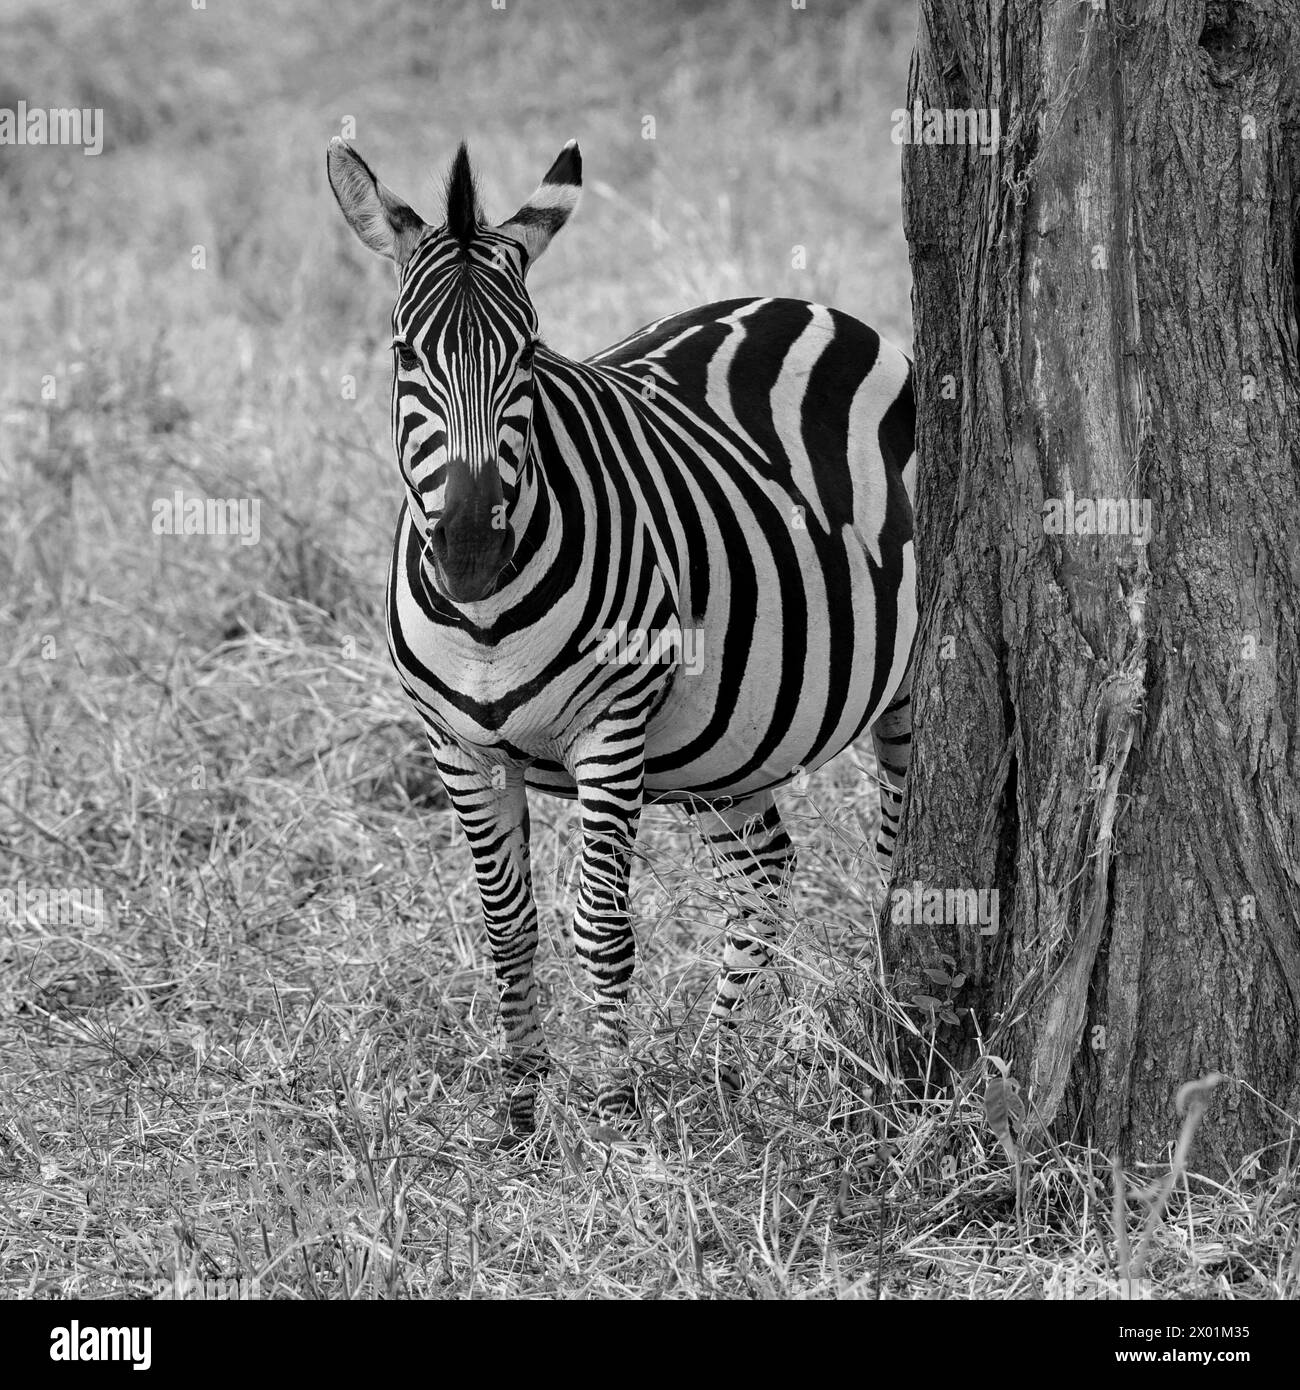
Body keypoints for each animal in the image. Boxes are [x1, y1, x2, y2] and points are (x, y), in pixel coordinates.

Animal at [325, 135, 917, 1128]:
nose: (470, 553)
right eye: (406, 354)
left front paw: (611, 1105)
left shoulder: (613, 726)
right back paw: (721, 1066)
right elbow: (507, 924)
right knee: (762, 872)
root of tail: (811, 306)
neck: (484, 622)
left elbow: (600, 925)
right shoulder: (456, 746)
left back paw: (876, 1012)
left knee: (893, 856)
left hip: (905, 690)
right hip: (733, 740)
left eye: (528, 356)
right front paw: (522, 1106)